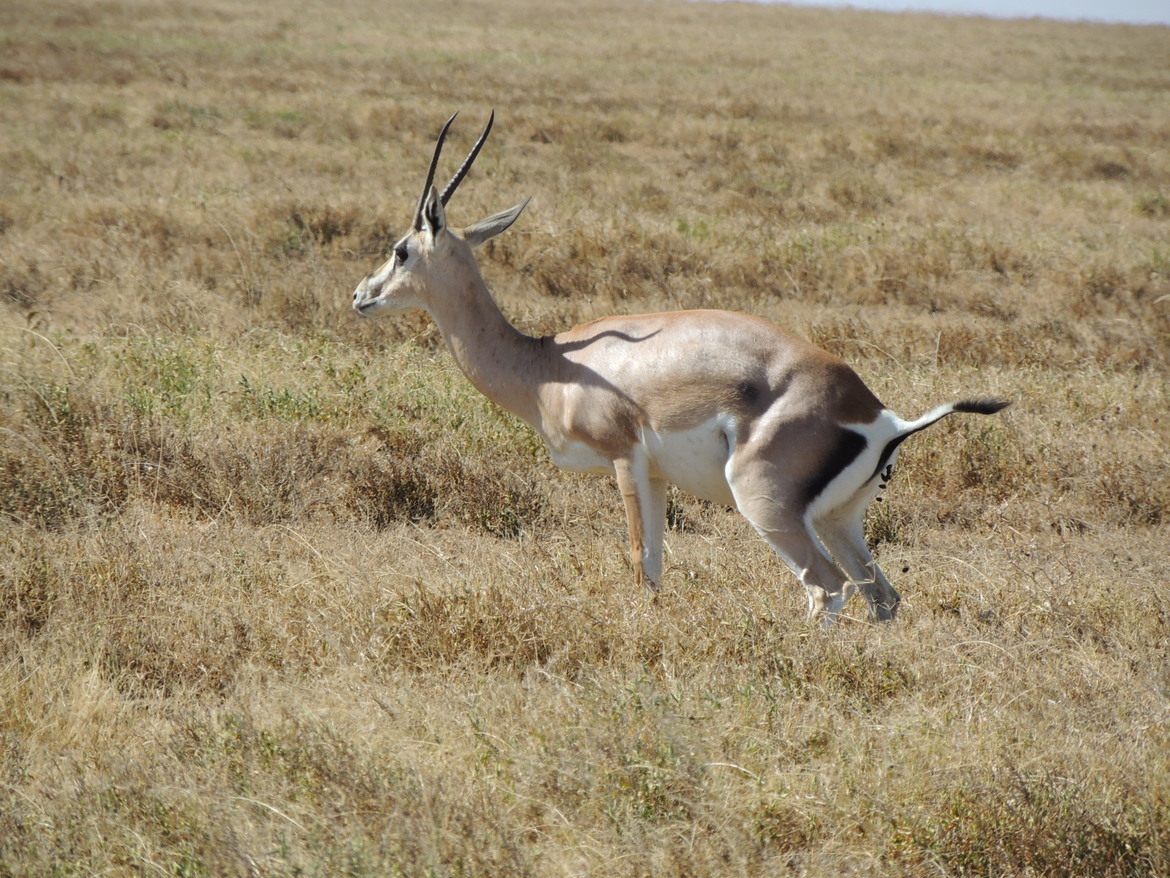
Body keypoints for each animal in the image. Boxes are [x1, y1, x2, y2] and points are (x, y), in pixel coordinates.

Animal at [351, 112, 1010, 623]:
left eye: (401, 249)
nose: (361, 296)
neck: (549, 367)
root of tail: (882, 417)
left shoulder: (625, 461)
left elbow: (641, 568)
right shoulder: (660, 477)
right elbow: (659, 564)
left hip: (766, 507)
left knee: (826, 587)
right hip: (842, 519)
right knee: (883, 596)